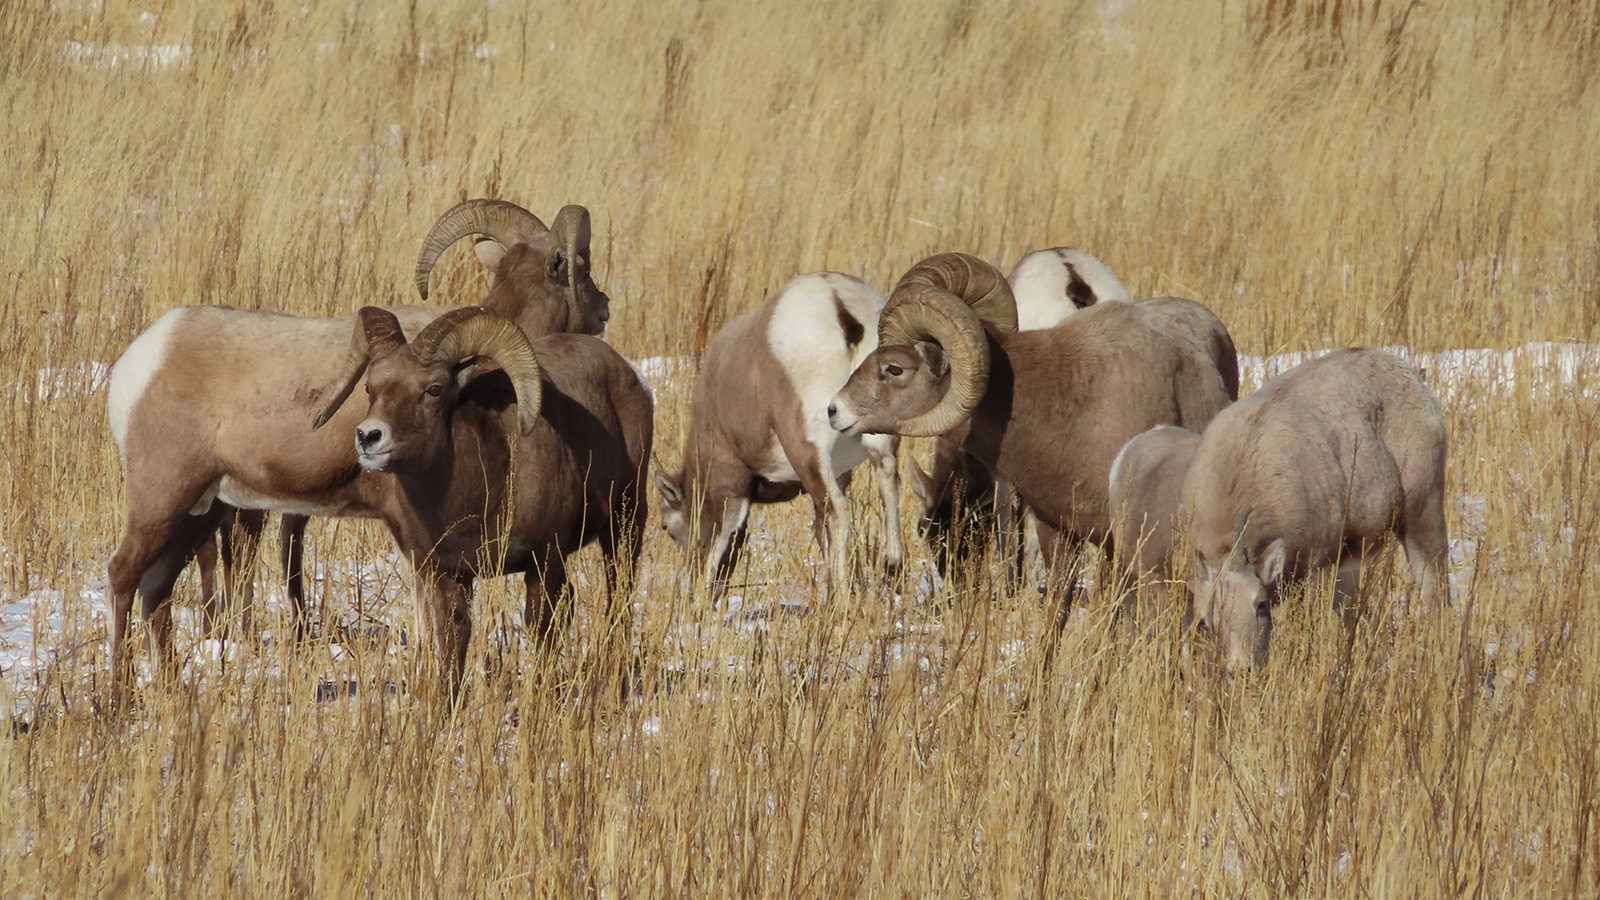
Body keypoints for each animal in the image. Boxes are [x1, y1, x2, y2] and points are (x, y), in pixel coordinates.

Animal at [105, 199, 608, 689]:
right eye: (582, 268)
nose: (604, 308)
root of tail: (138, 364)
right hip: (163, 497)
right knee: (123, 573)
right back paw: (122, 695)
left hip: (199, 510)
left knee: (157, 588)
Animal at [312, 306, 653, 691]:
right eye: (371, 387)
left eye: (433, 389)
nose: (369, 436)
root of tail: (629, 374)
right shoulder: (449, 573)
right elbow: (454, 637)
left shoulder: (544, 561)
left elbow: (542, 629)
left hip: (625, 524)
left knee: (619, 595)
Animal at [653, 272, 902, 604]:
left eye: (667, 527)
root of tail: (840, 305)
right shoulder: (840, 474)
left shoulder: (729, 482)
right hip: (879, 437)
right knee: (888, 476)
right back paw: (893, 564)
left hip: (807, 449)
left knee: (838, 510)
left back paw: (842, 598)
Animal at [1181, 348, 1449, 672]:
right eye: (1209, 619)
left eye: (1259, 604)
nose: (1242, 669)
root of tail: (1411, 377)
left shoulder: (1310, 569)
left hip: (1422, 519)